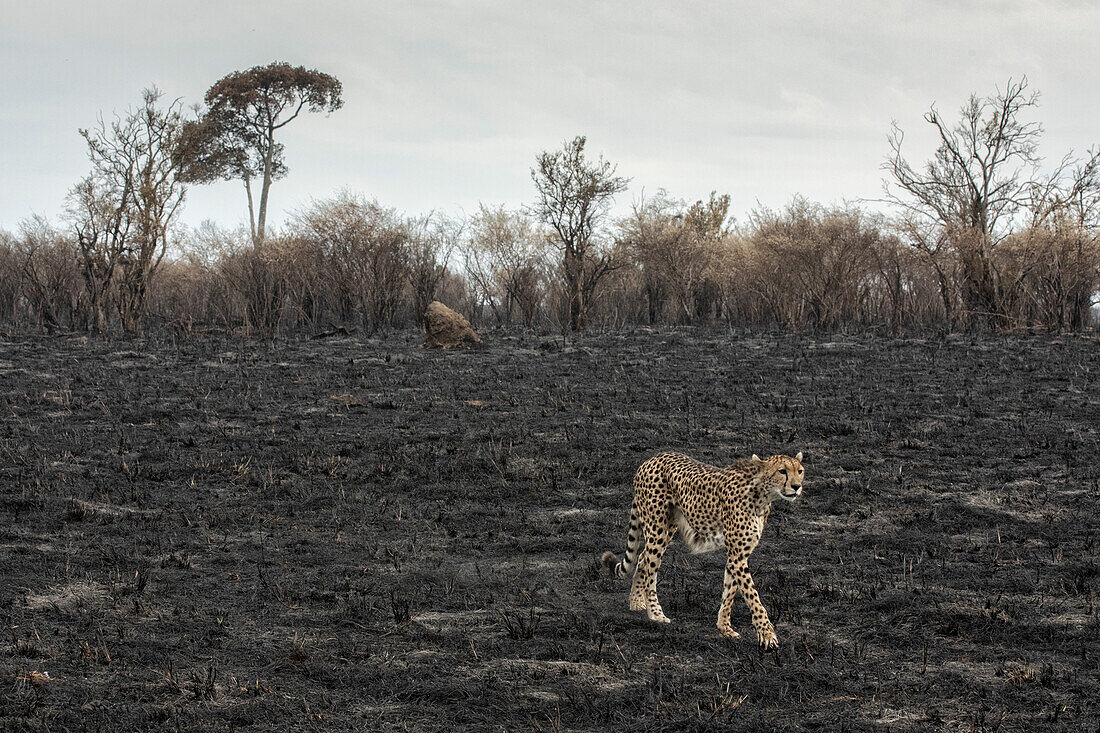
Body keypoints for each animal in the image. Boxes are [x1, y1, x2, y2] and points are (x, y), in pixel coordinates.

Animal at [602, 451, 809, 647]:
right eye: (782, 471)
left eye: (800, 471)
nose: (796, 486)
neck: (761, 495)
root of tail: (652, 458)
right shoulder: (738, 556)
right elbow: (753, 596)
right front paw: (767, 635)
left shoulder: (737, 555)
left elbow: (729, 592)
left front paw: (724, 628)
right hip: (657, 528)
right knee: (649, 566)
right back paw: (656, 613)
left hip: (668, 527)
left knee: (643, 558)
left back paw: (636, 601)